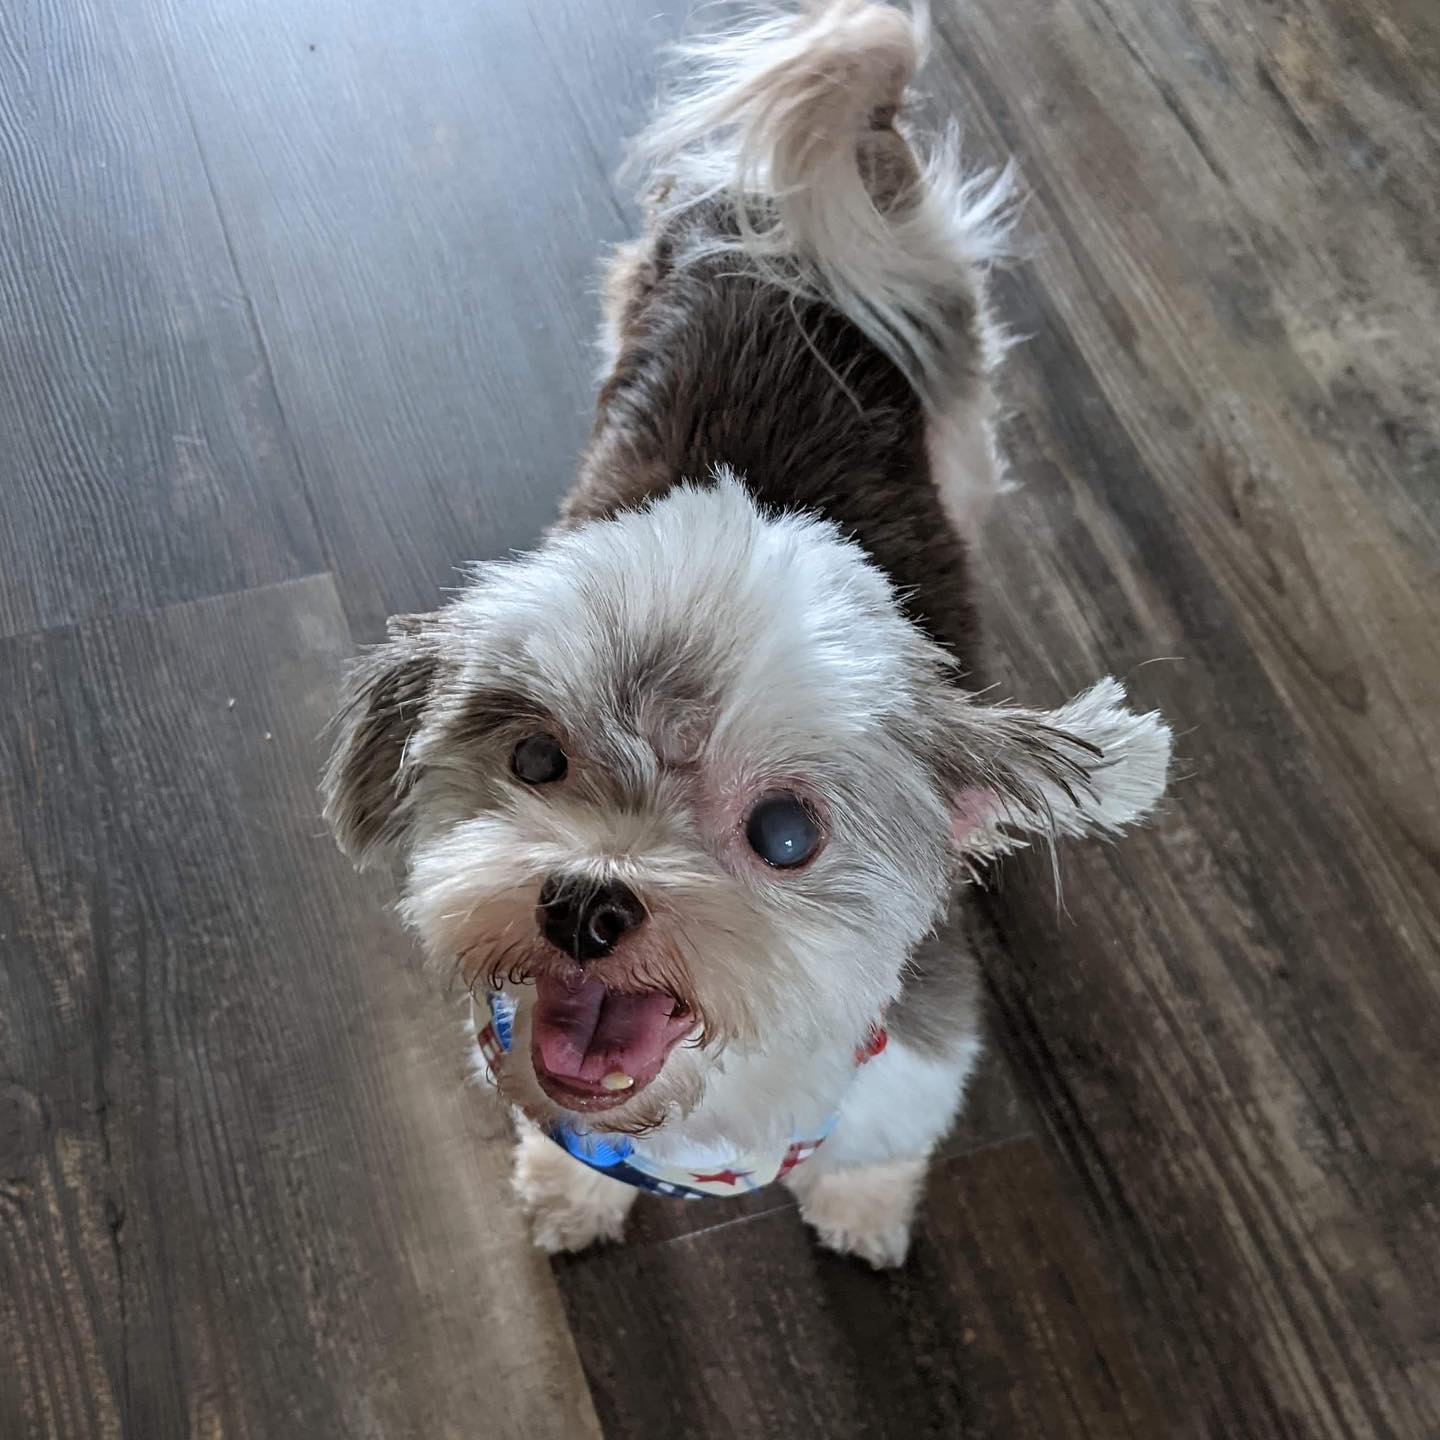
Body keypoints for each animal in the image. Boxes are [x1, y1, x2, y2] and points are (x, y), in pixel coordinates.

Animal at [318, 0, 1169, 1267]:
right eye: (534, 758)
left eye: (784, 835)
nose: (586, 900)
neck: (714, 1116)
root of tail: (802, 204)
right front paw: (570, 1190)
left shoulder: (913, 1058)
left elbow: (878, 1144)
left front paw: (861, 1210)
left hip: (957, 392)